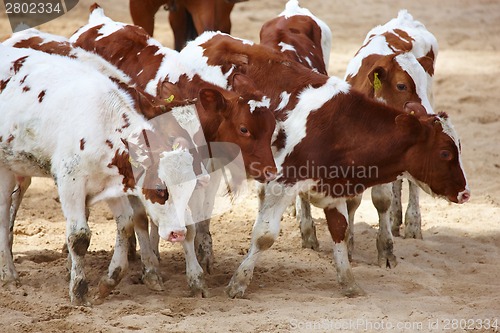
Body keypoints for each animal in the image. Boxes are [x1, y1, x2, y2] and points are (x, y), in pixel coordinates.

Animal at [0, 43, 201, 304]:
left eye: (189, 187)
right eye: (160, 189)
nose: (178, 233)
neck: (102, 125)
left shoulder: (112, 184)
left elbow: (126, 225)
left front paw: (108, 282)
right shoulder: (70, 182)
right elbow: (79, 237)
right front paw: (78, 291)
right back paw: (9, 274)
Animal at [183, 31, 468, 296]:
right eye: (445, 153)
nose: (465, 193)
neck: (341, 128)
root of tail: (207, 40)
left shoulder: (334, 186)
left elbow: (340, 230)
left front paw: (349, 282)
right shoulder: (281, 182)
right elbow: (264, 236)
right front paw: (238, 283)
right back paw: (203, 253)